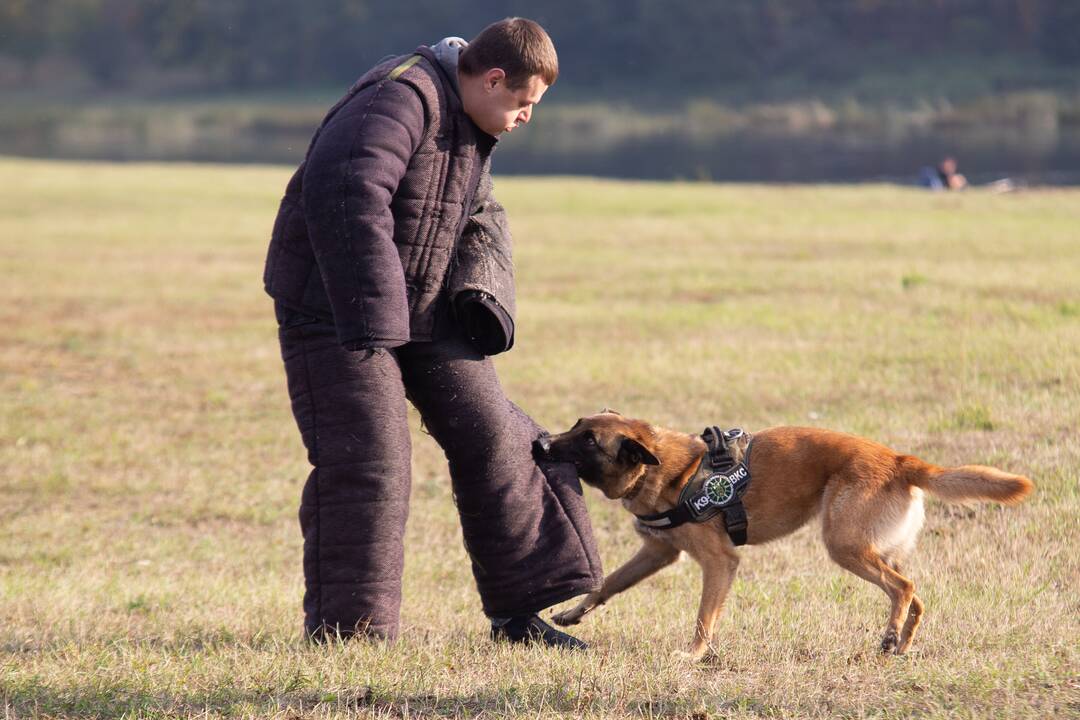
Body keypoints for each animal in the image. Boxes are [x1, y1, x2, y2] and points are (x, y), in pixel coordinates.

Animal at [535, 410, 1032, 660]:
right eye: (576, 425)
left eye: (589, 441)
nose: (539, 443)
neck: (668, 470)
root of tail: (899, 459)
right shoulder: (657, 553)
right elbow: (608, 584)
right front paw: (572, 613)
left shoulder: (720, 563)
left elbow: (703, 617)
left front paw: (694, 655)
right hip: (875, 547)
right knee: (917, 597)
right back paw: (902, 645)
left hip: (845, 546)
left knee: (903, 588)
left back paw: (891, 636)